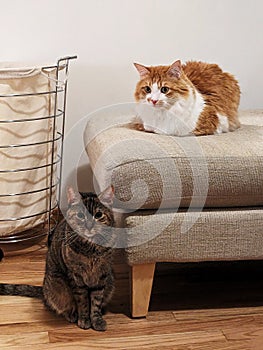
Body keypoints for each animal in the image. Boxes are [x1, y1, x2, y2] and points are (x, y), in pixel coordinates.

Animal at [0, 186, 115, 330]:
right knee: (57, 305)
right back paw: (71, 314)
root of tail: (43, 291)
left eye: (98, 215)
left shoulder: (102, 275)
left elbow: (96, 301)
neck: (91, 250)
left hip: (111, 282)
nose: (89, 226)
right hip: (57, 286)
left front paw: (97, 319)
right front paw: (84, 318)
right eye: (80, 215)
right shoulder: (76, 277)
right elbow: (82, 301)